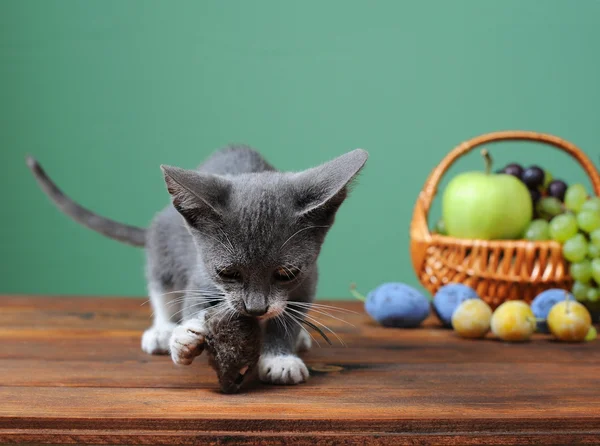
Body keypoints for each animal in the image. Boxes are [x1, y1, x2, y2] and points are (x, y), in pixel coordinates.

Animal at [27, 146, 366, 384]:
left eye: (286, 273)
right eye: (228, 273)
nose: (255, 309)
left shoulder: (308, 277)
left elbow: (290, 314)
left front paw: (280, 357)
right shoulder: (201, 270)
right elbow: (191, 300)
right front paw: (183, 338)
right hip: (163, 241)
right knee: (160, 286)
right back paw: (162, 331)